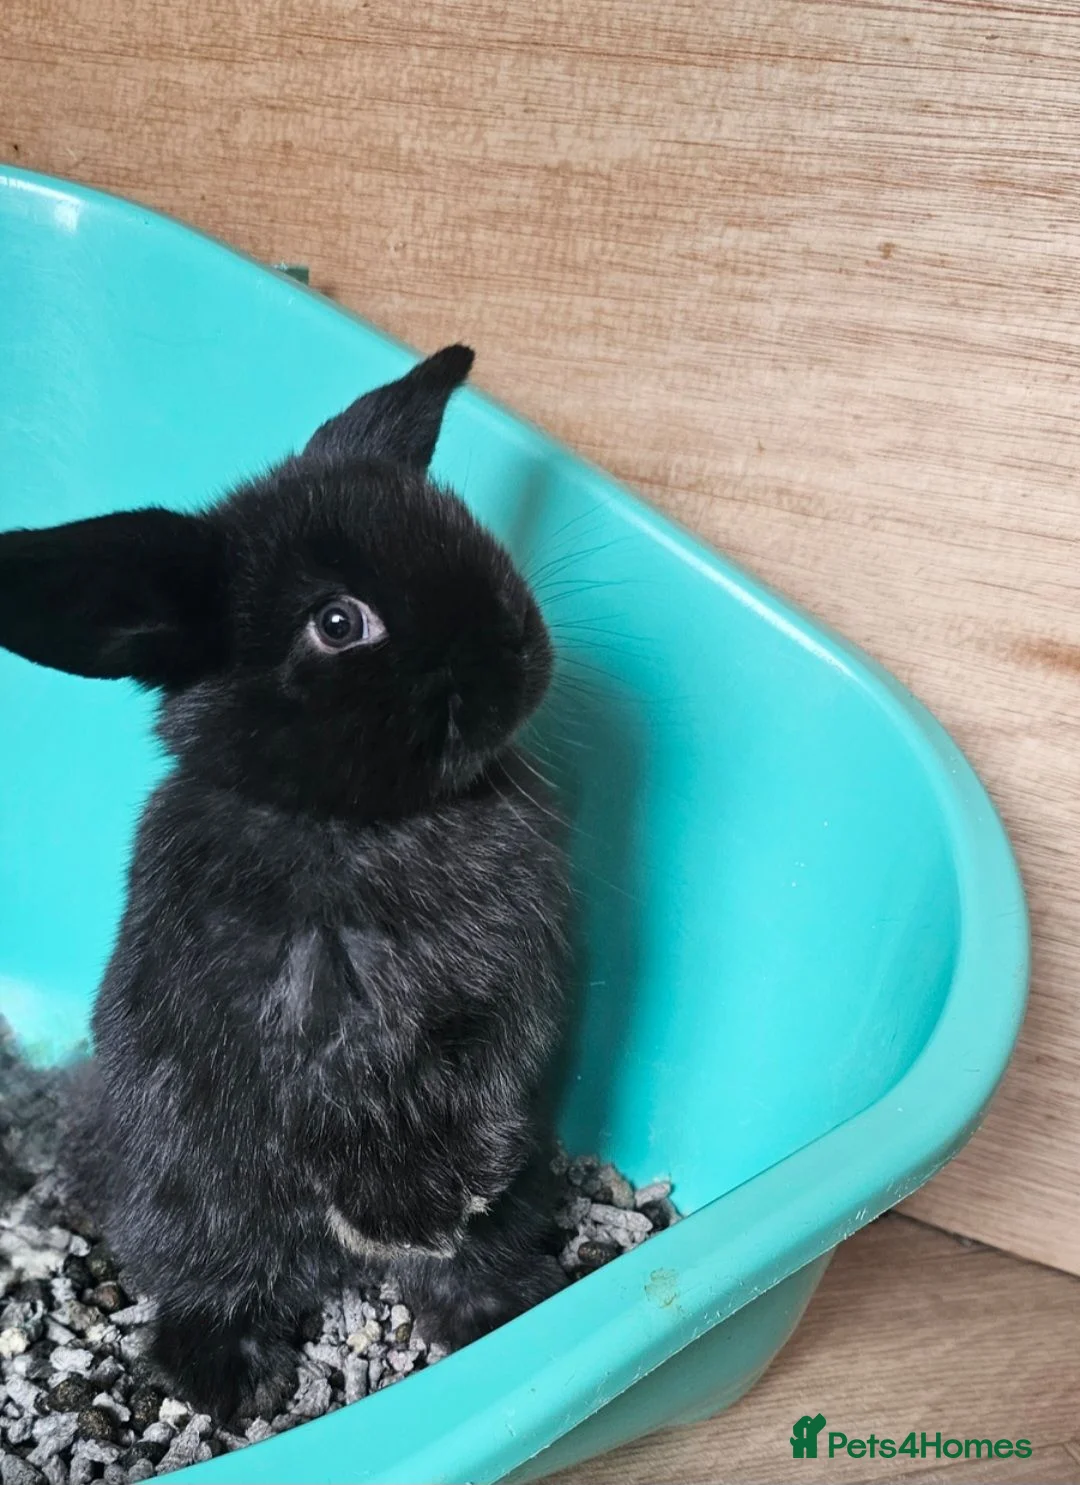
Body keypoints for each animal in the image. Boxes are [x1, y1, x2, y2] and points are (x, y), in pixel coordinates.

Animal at [0, 344, 571, 1421]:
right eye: (339, 622)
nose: (519, 652)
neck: (357, 824)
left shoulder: (505, 999)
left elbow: (485, 1081)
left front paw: (448, 1200)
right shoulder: (283, 1023)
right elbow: (325, 1115)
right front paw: (400, 1215)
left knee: (469, 1271)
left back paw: (500, 1307)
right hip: (197, 1207)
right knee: (213, 1288)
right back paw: (228, 1379)